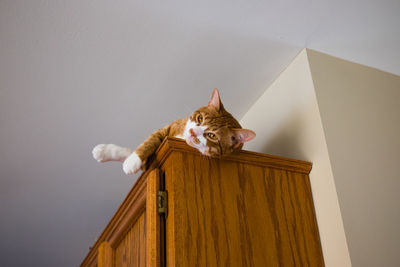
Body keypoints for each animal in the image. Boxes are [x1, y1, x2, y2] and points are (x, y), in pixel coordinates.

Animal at [92, 89, 255, 175]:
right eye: (200, 118)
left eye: (211, 135)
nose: (192, 131)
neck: (181, 137)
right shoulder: (168, 129)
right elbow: (147, 142)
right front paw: (106, 151)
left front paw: (132, 162)